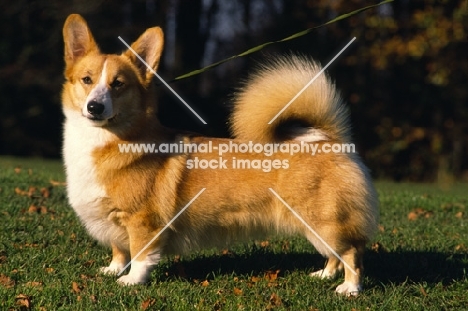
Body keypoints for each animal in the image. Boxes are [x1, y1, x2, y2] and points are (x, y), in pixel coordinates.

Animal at [62, 14, 378, 298]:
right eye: (87, 80)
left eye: (118, 84)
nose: (94, 107)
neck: (104, 140)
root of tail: (328, 139)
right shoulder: (113, 222)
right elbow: (120, 250)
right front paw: (112, 270)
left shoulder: (143, 222)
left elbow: (140, 255)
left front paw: (131, 281)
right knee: (336, 254)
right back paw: (324, 274)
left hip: (324, 221)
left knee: (352, 252)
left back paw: (350, 288)